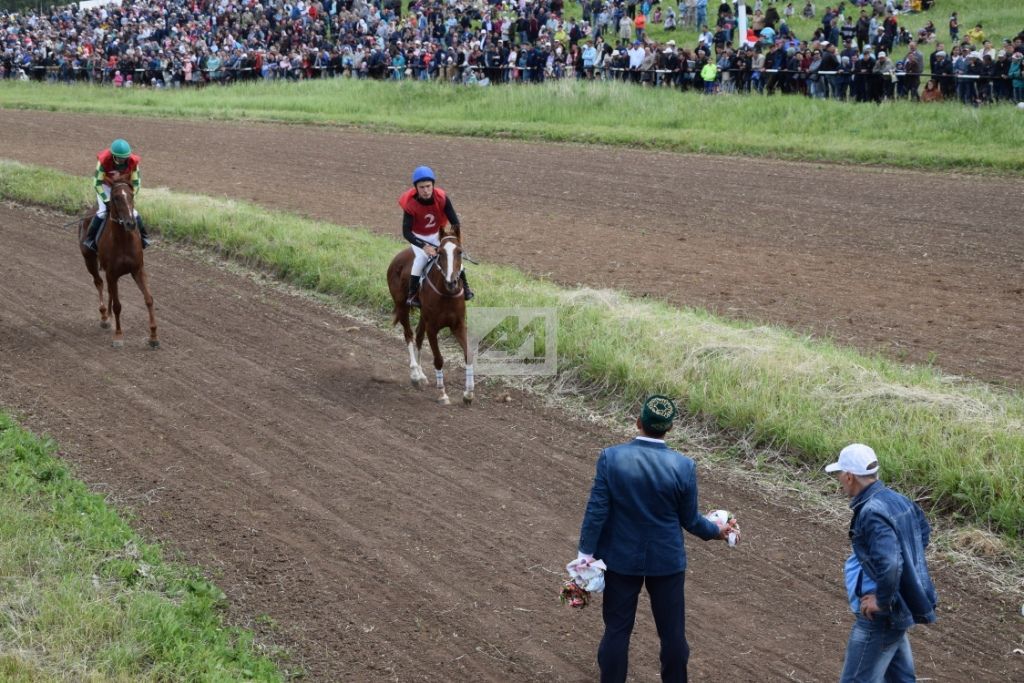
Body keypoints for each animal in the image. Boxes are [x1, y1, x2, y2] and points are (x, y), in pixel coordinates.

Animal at [77, 180, 158, 350]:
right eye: (115, 198)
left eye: (131, 195)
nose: (130, 223)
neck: (123, 242)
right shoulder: (112, 273)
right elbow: (118, 306)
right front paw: (119, 336)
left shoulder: (137, 270)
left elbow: (148, 299)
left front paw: (153, 336)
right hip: (89, 260)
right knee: (98, 282)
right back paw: (104, 316)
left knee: (108, 289)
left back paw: (108, 316)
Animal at [387, 235, 475, 405]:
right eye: (440, 253)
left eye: (459, 252)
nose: (451, 282)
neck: (447, 294)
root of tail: (397, 258)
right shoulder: (432, 328)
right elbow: (438, 359)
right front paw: (442, 393)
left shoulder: (458, 325)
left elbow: (468, 354)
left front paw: (468, 393)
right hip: (402, 307)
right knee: (409, 335)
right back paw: (415, 374)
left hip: (423, 315)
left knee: (419, 336)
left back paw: (421, 374)